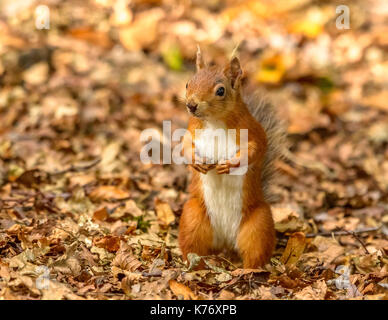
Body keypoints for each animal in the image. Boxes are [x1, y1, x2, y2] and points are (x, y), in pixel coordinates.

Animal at [179, 47, 284, 268]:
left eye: (221, 91)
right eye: (187, 83)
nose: (191, 105)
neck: (214, 121)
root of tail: (226, 241)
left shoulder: (253, 133)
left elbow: (253, 150)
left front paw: (229, 164)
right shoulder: (191, 131)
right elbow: (184, 146)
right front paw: (196, 162)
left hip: (258, 224)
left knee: (255, 254)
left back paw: (244, 271)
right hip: (193, 217)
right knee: (193, 248)